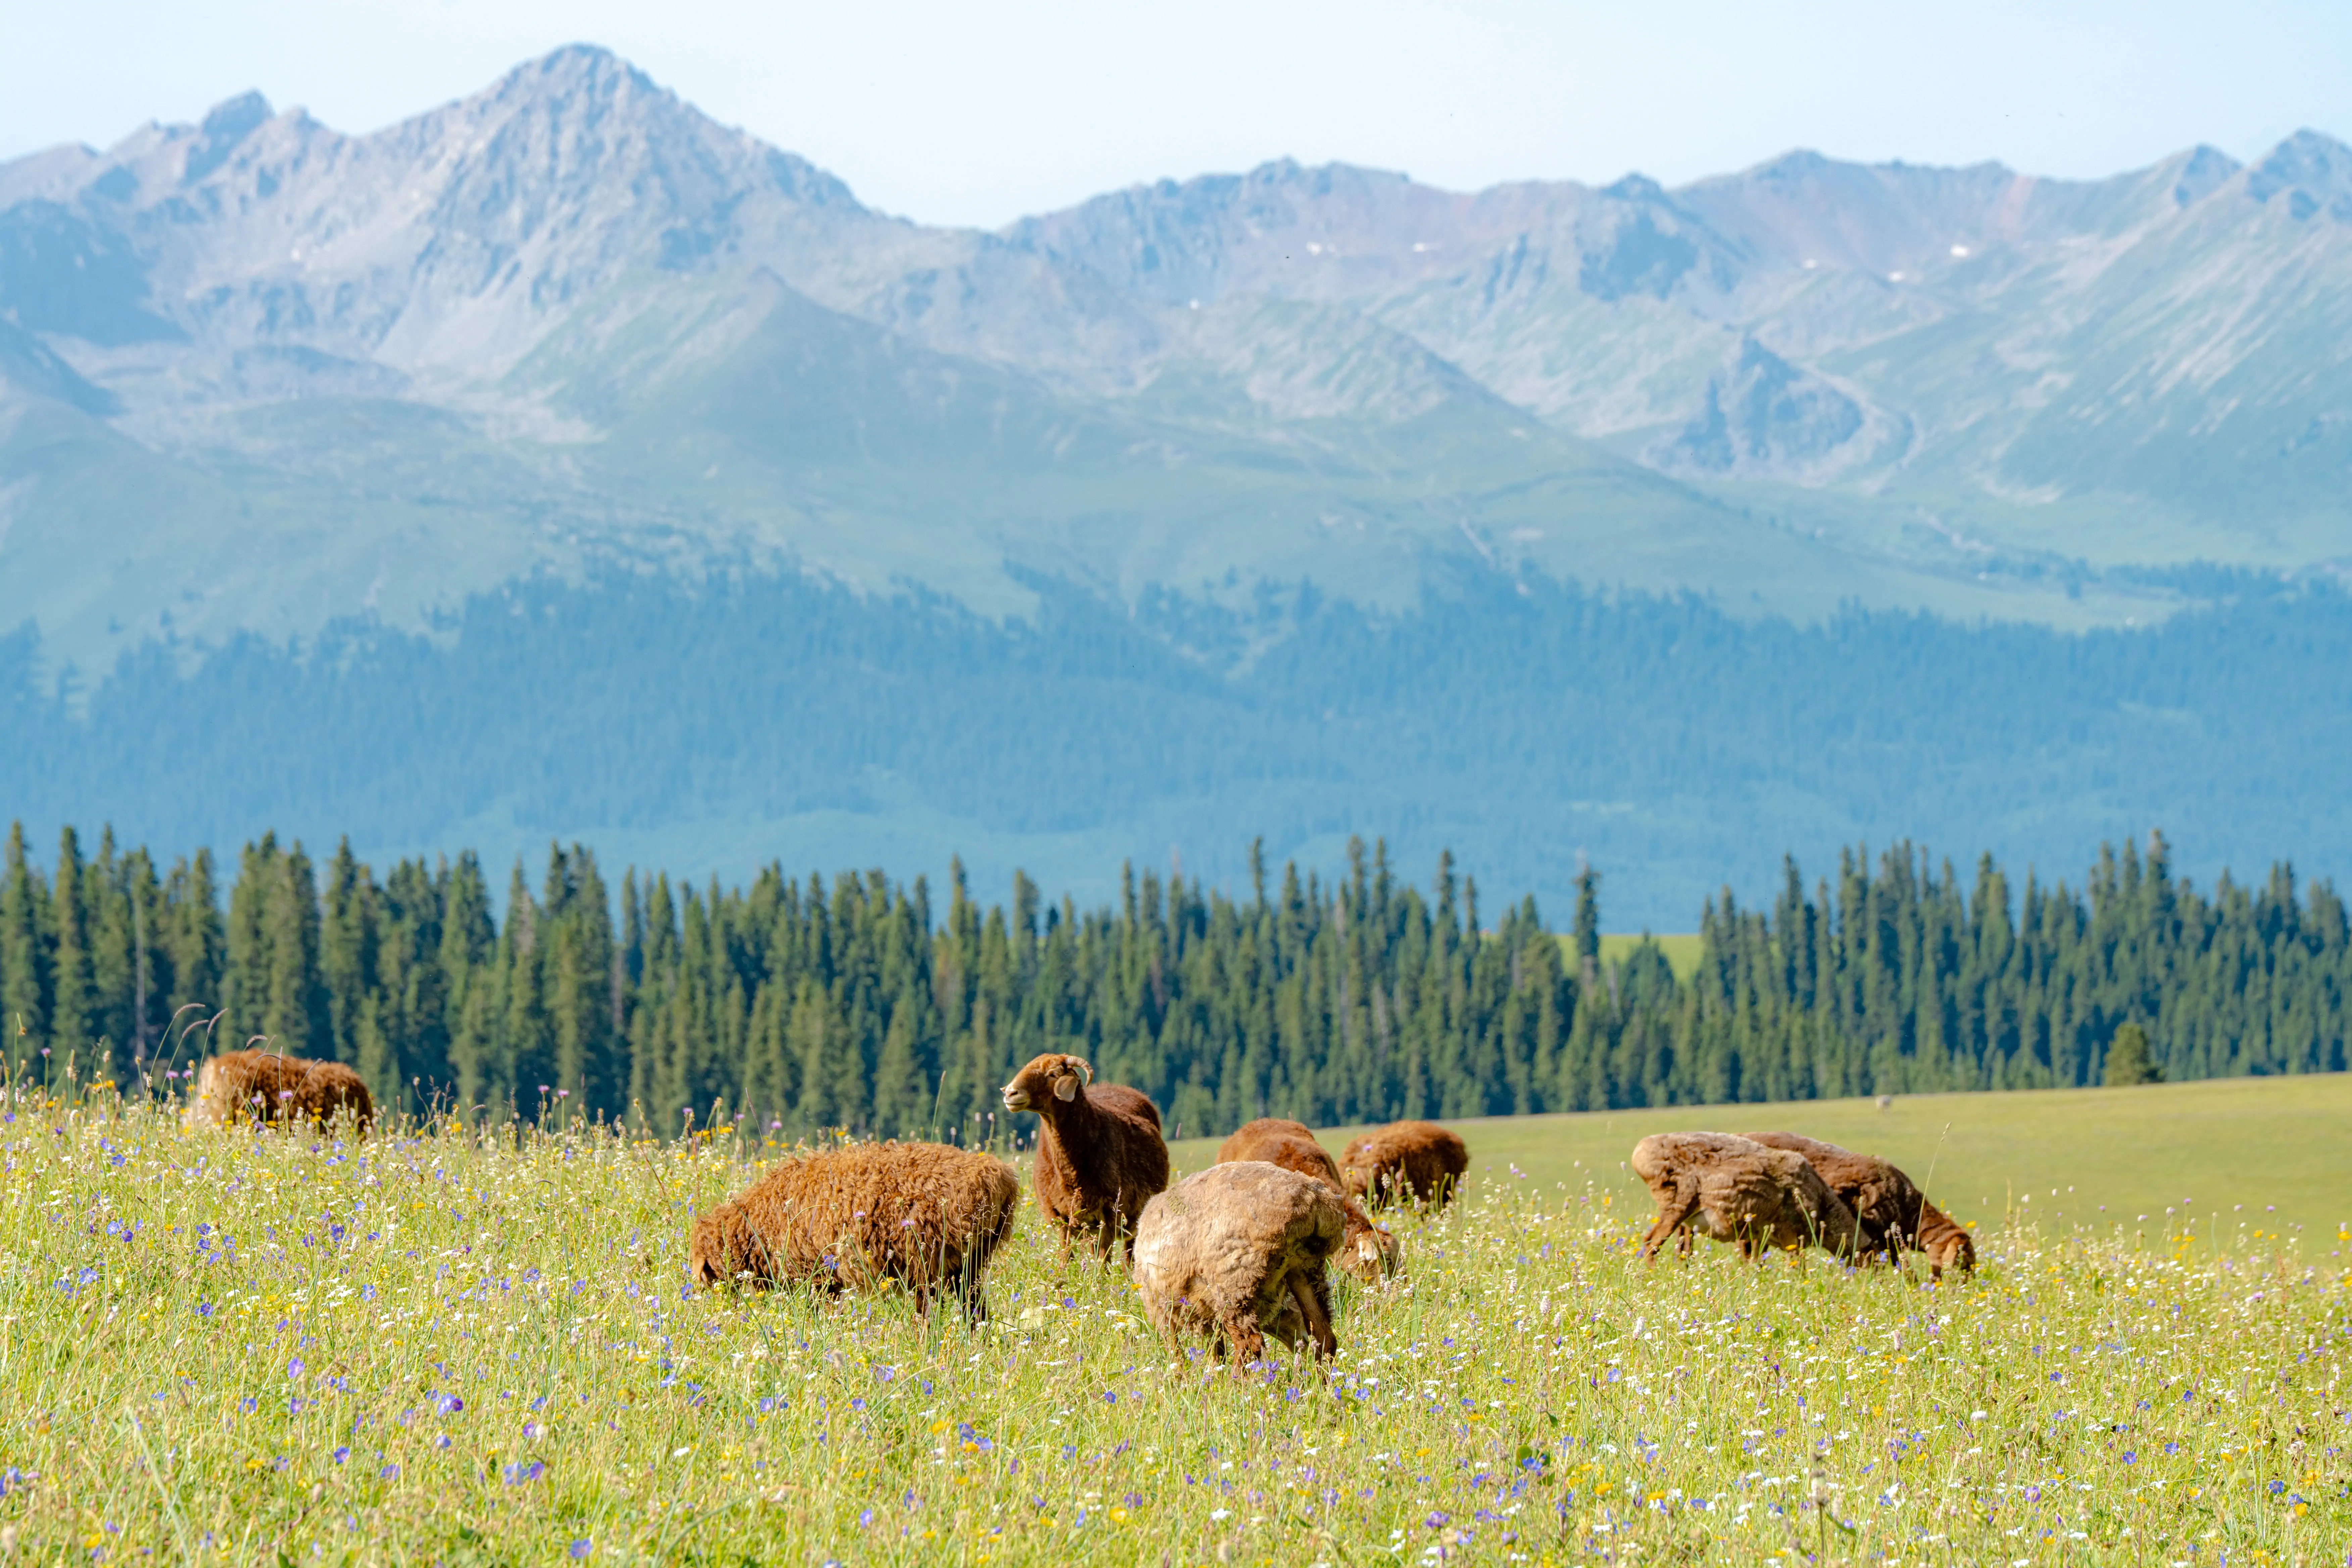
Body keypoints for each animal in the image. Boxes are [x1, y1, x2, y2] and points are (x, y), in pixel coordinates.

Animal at [688, 1140, 1019, 1322]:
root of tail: (998, 1178)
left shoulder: (818, 1274)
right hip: (970, 1262)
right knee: (976, 1313)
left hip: (927, 1260)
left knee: (928, 1314)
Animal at [999, 1052, 1170, 1266]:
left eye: (1053, 1074)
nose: (1011, 1093)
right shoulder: (1059, 1217)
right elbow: (1066, 1258)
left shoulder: (1110, 1214)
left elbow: (1104, 1260)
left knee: (1129, 1255)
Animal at [1131, 1161, 1343, 1374]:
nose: (1301, 1345)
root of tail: (1312, 1200)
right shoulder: (1208, 1315)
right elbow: (1217, 1351)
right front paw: (1213, 1376)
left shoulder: (1158, 1307)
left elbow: (1175, 1351)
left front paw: (1179, 1377)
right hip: (1306, 1270)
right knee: (1325, 1338)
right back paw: (1322, 1378)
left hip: (1235, 1283)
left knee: (1250, 1343)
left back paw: (1235, 1380)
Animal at [1629, 1131, 1861, 1264]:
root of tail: (1639, 1152)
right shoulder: (1789, 1237)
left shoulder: (1757, 1236)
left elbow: (1754, 1264)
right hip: (1677, 1207)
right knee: (1651, 1242)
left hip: (1687, 1221)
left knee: (1681, 1251)